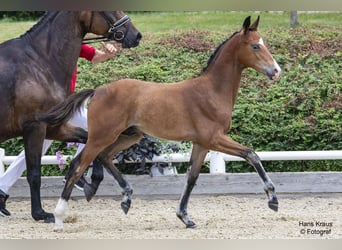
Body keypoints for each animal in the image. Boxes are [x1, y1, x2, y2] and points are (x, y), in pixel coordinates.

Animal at [0, 11, 142, 223]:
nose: (136, 35)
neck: (40, 62)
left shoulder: (54, 127)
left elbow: (92, 144)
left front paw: (92, 183)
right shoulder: (35, 126)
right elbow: (34, 173)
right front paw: (40, 213)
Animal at [39, 16, 280, 230]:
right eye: (255, 46)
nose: (276, 71)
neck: (211, 91)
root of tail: (98, 90)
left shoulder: (201, 144)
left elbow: (191, 178)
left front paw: (185, 217)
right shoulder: (214, 139)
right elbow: (251, 154)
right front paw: (272, 199)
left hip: (129, 135)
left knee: (104, 157)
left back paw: (126, 198)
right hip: (102, 136)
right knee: (78, 166)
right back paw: (59, 218)